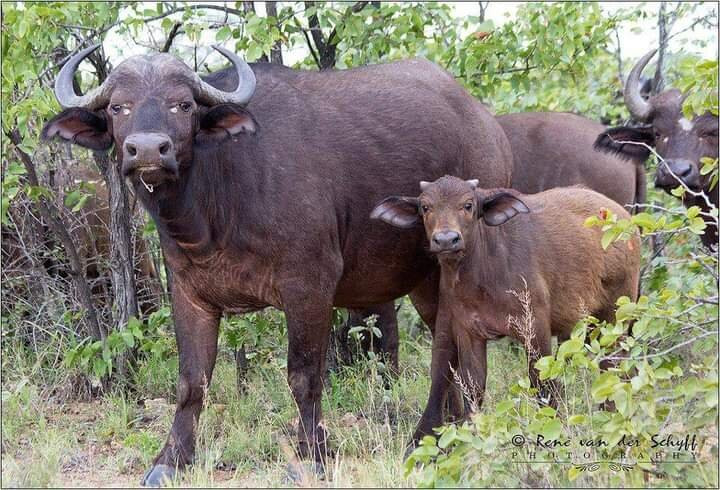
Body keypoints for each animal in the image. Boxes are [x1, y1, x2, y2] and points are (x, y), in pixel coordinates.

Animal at [41, 45, 513, 485]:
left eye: (184, 104)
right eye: (118, 106)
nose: (147, 150)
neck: (217, 203)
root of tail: (489, 128)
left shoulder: (309, 286)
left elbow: (304, 376)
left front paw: (311, 457)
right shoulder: (189, 292)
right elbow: (191, 380)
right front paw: (169, 461)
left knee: (447, 355)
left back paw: (427, 437)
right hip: (425, 282)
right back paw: (446, 432)